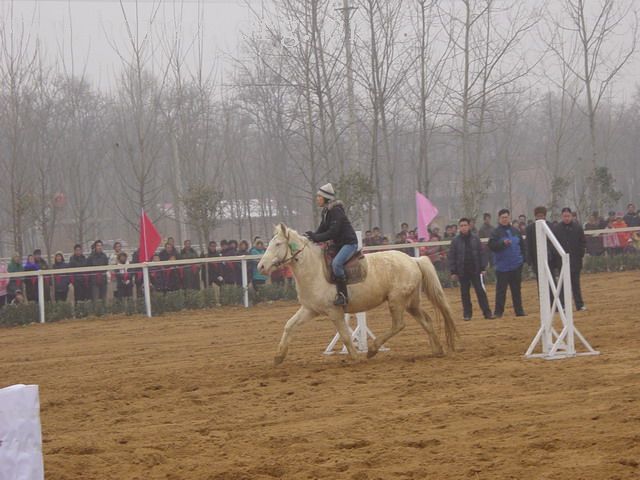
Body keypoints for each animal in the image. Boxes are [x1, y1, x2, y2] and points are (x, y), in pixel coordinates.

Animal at [258, 225, 458, 364]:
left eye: (278, 244)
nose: (261, 266)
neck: (314, 270)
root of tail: (413, 259)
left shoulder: (335, 312)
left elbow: (346, 335)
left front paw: (355, 357)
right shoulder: (309, 310)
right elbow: (289, 326)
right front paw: (278, 357)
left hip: (397, 301)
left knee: (399, 325)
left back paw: (373, 349)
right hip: (411, 303)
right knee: (427, 321)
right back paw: (437, 350)